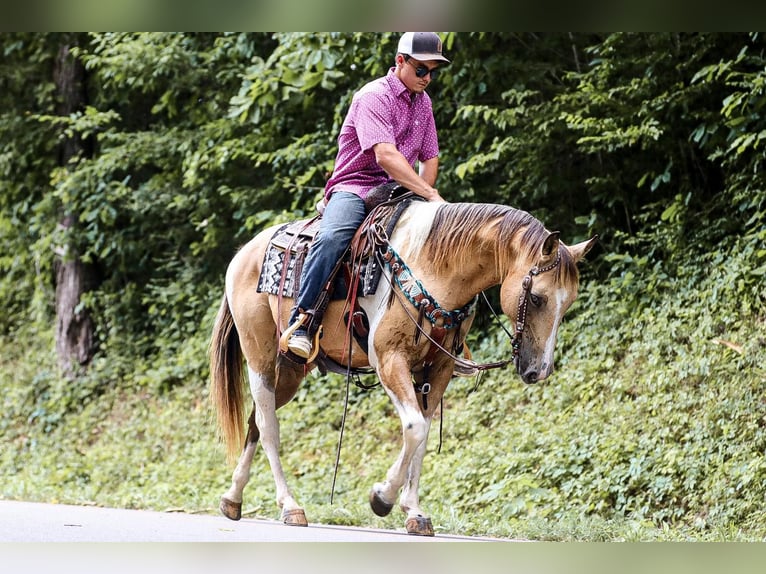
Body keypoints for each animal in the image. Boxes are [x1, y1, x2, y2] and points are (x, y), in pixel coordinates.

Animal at [210, 199, 600, 540]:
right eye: (537, 298)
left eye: (569, 302)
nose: (539, 370)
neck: (434, 268)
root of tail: (242, 254)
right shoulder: (389, 360)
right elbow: (414, 428)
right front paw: (382, 497)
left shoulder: (438, 369)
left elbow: (423, 435)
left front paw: (414, 512)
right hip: (261, 359)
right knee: (269, 428)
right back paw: (290, 506)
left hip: (290, 369)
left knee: (255, 422)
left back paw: (232, 499)